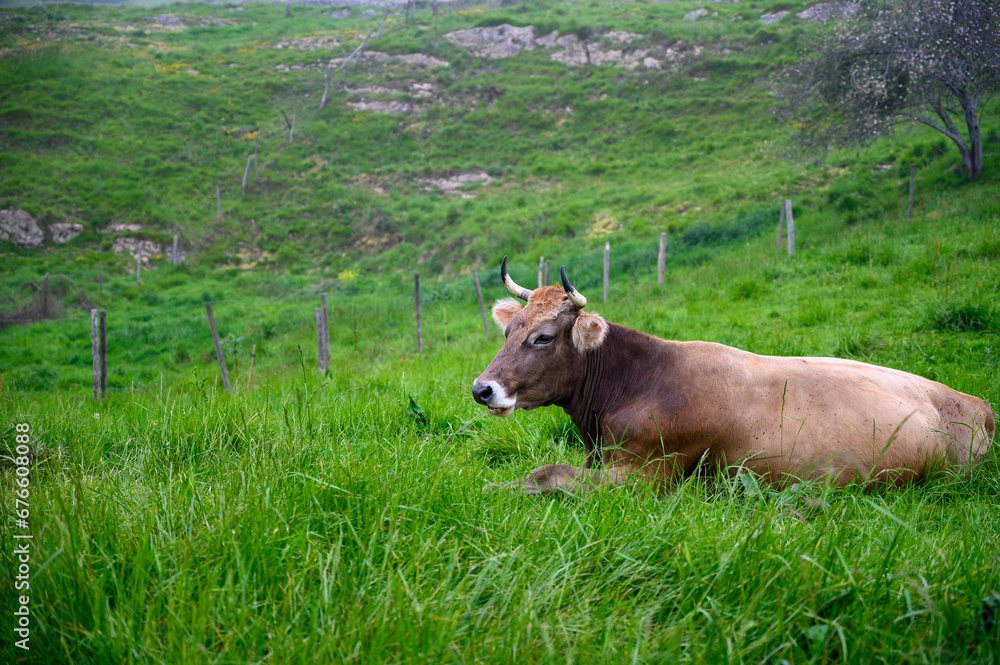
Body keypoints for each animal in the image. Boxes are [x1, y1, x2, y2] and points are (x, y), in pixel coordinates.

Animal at [471, 257, 995, 495]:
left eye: (543, 337)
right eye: (509, 330)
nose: (482, 388)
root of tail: (977, 403)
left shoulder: (650, 472)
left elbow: (548, 473)